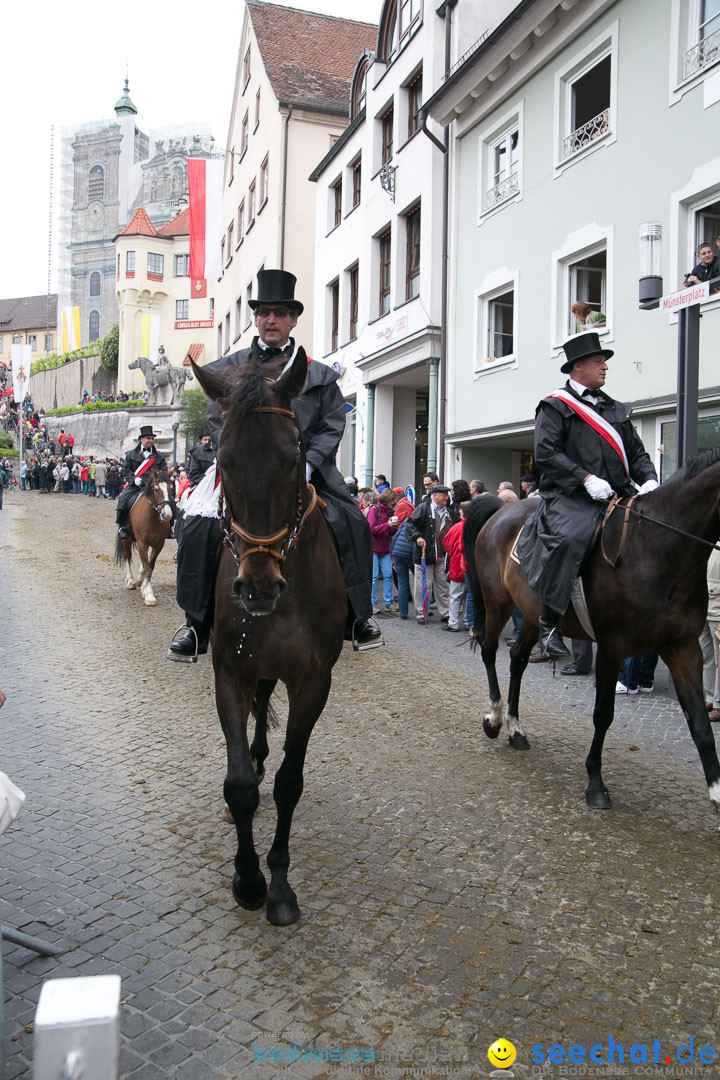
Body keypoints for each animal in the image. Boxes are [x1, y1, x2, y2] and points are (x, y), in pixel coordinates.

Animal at [117, 470, 177, 609]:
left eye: (171, 488)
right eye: (156, 489)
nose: (167, 515)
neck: (153, 516)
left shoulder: (159, 544)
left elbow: (150, 565)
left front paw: (145, 588)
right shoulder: (142, 543)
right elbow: (147, 567)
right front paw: (149, 595)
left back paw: (140, 580)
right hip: (126, 539)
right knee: (128, 557)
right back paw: (131, 581)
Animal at [191, 349, 349, 924]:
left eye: (293, 455)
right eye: (224, 458)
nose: (257, 587)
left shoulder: (313, 683)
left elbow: (289, 784)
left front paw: (279, 887)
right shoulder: (229, 673)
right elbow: (238, 785)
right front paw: (248, 880)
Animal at [464, 444, 720, 812]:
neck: (658, 548)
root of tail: (503, 509)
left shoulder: (684, 647)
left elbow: (699, 721)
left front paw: (717, 792)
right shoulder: (613, 646)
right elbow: (603, 714)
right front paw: (595, 783)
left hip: (531, 615)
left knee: (517, 659)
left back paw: (515, 729)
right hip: (498, 603)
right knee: (488, 650)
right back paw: (495, 718)